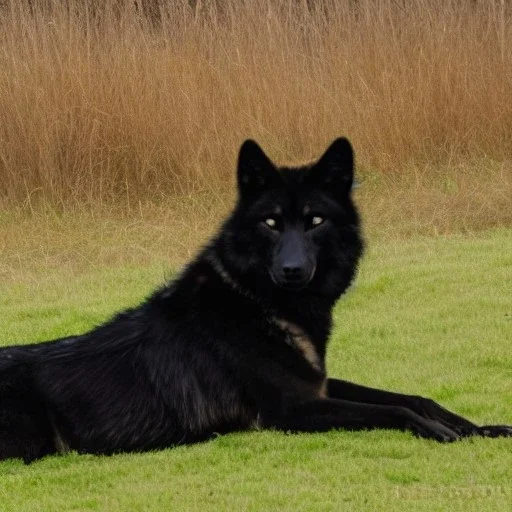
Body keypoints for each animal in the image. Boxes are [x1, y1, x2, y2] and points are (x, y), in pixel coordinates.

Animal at [1, 138, 512, 462]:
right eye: (270, 223)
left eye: (316, 221)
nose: (292, 271)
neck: (256, 303)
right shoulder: (291, 410)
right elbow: (393, 410)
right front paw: (443, 433)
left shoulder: (316, 386)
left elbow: (414, 397)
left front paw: (478, 428)